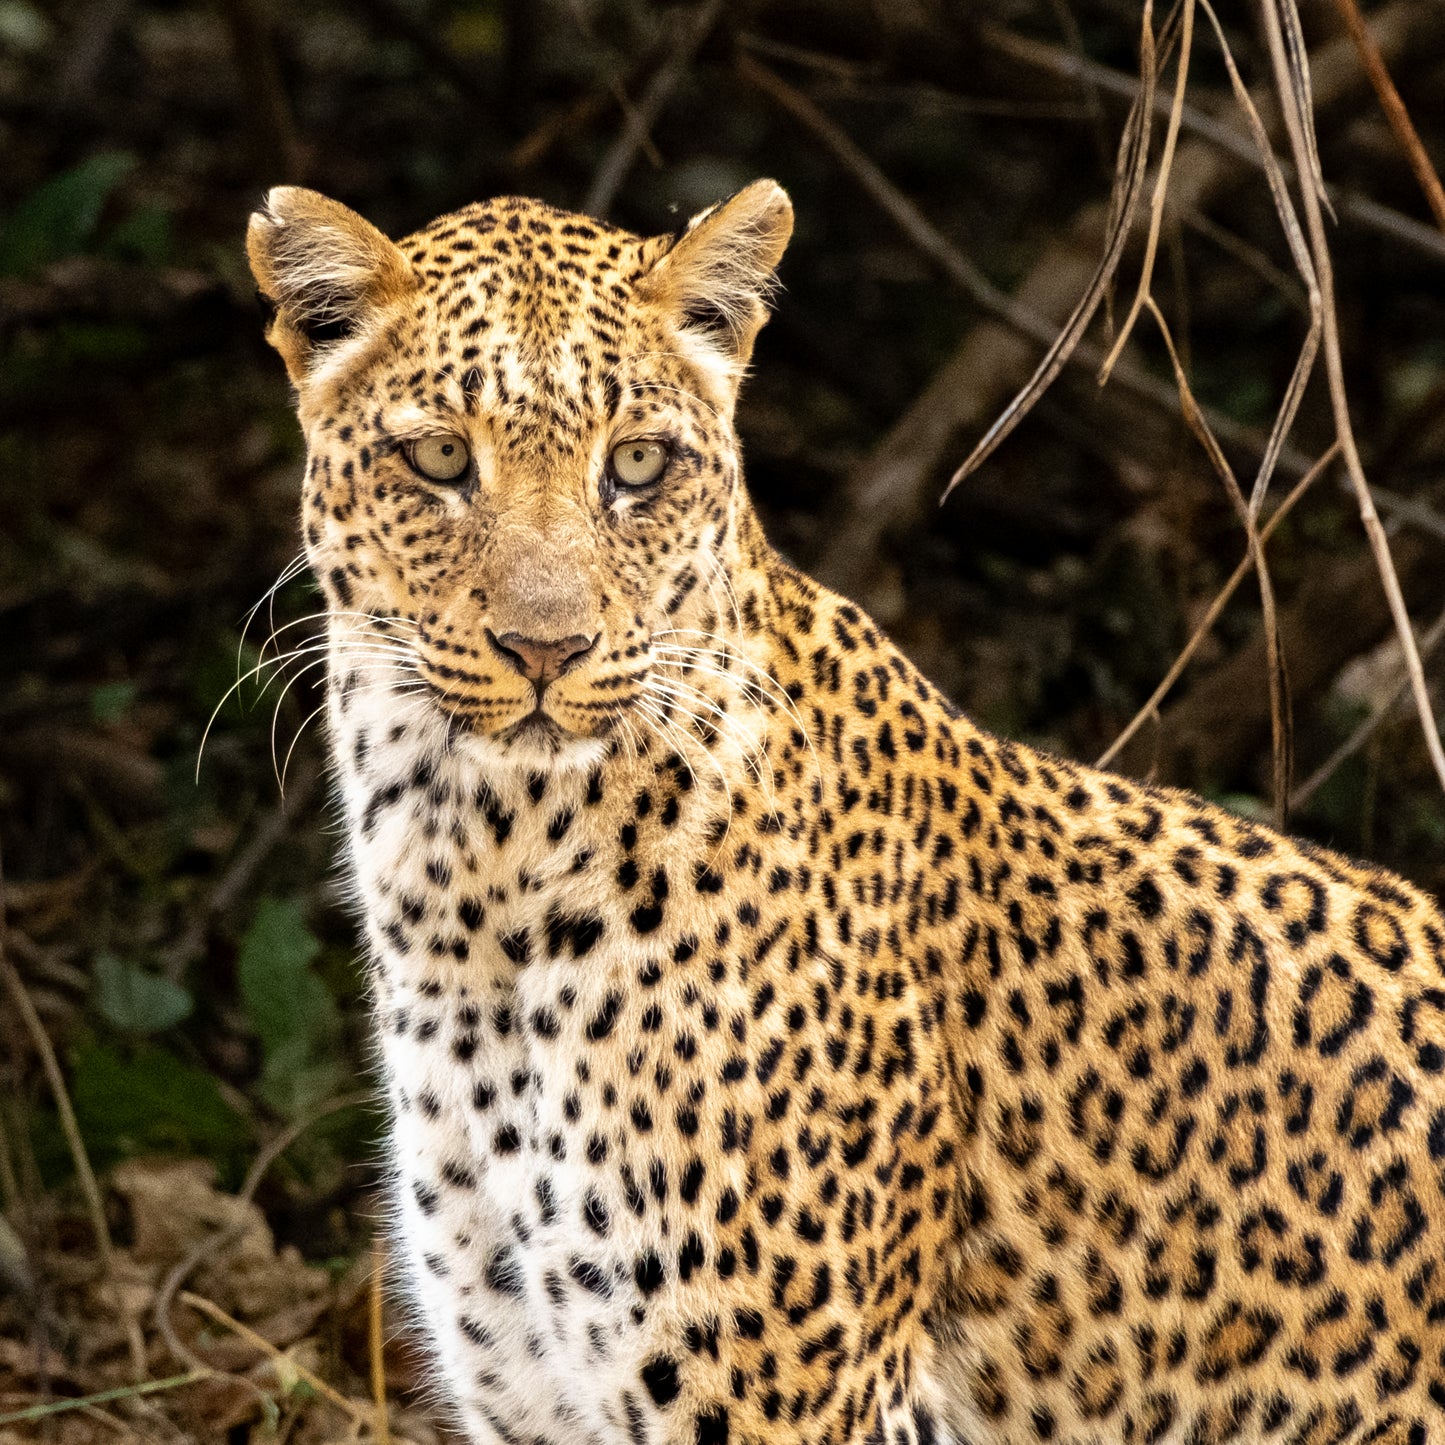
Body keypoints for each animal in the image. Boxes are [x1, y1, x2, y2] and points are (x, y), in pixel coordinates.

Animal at [245, 180, 1445, 1445]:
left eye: (636, 464)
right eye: (438, 457)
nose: (544, 647)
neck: (477, 877)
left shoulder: (779, 1395)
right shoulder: (531, 1391)